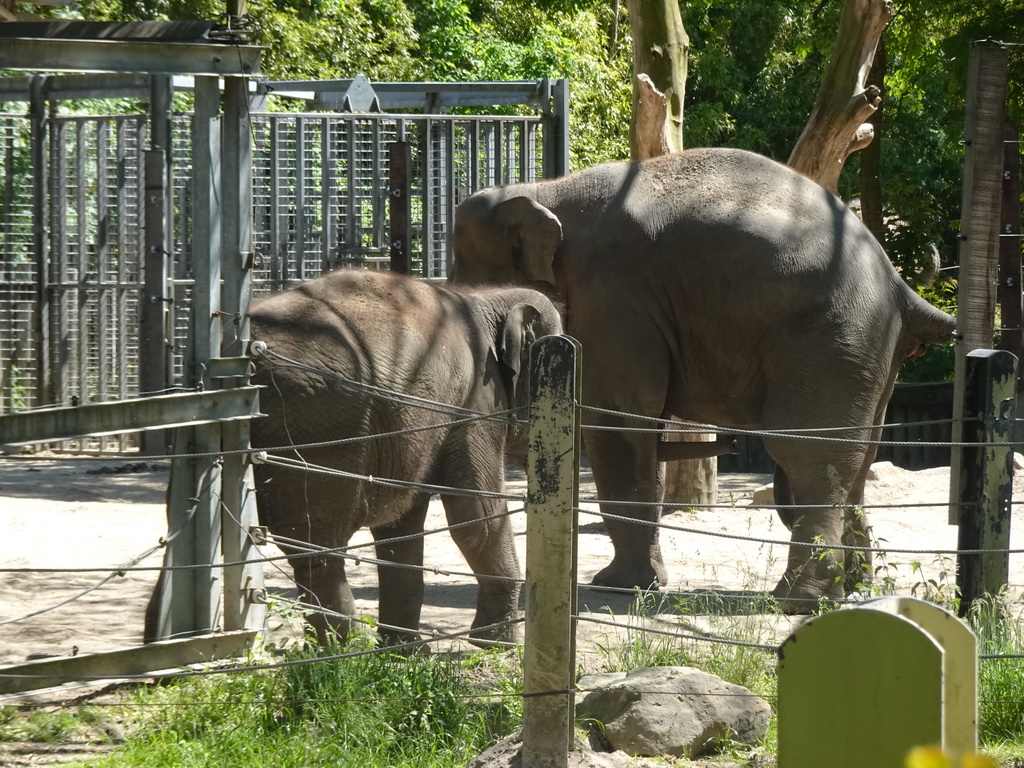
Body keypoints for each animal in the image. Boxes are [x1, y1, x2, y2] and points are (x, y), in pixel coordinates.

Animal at [250, 268, 565, 647]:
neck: (487, 299)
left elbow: (402, 525)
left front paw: (403, 650)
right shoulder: (475, 402)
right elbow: (478, 515)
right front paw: (497, 645)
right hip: (314, 422)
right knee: (317, 545)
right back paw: (344, 649)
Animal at [450, 145, 958, 614]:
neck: (545, 189)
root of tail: (897, 284)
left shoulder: (611, 293)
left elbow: (618, 421)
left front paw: (616, 587)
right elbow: (643, 432)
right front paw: (638, 584)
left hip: (831, 338)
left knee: (806, 451)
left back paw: (798, 602)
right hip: (869, 351)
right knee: (859, 454)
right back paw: (853, 589)